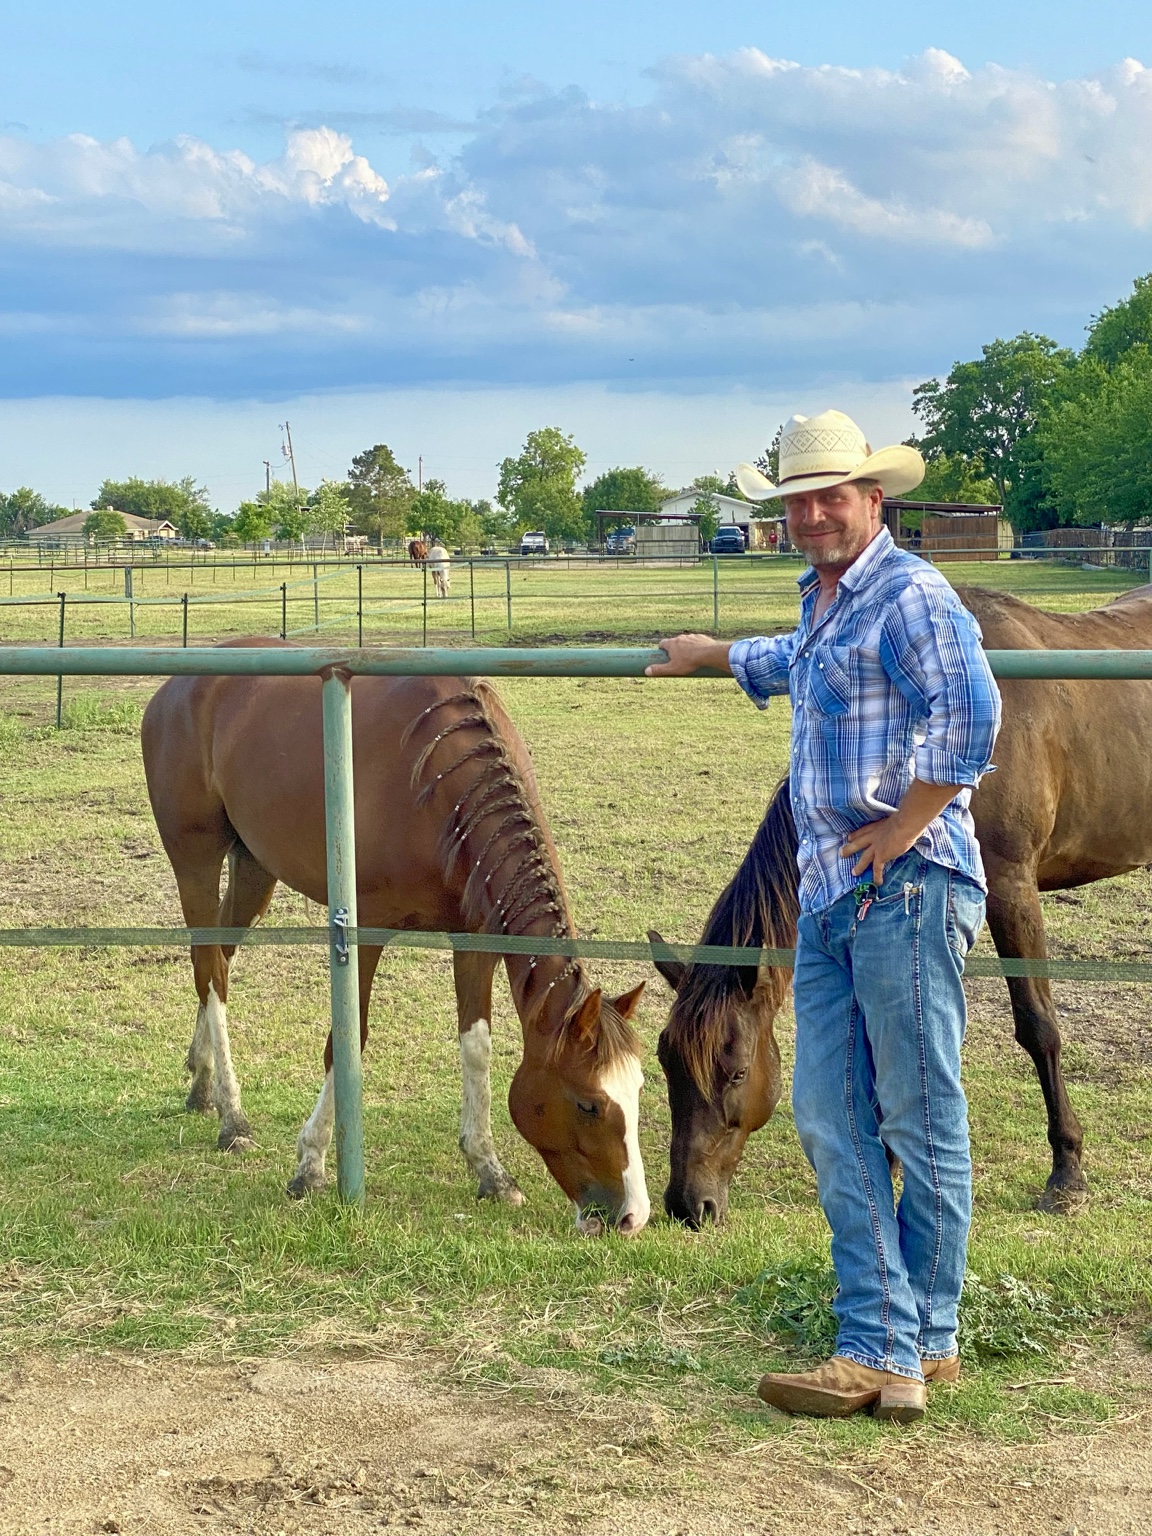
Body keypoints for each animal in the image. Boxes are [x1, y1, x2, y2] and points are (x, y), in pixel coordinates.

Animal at [141, 640, 650, 1235]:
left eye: (639, 1090)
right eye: (589, 1103)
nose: (631, 1216)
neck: (441, 784)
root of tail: (174, 687)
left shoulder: (474, 937)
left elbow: (476, 1046)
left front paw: (490, 1170)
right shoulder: (364, 931)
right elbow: (349, 1039)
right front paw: (311, 1164)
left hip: (253, 867)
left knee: (218, 957)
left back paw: (202, 1084)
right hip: (195, 858)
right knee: (210, 971)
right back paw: (232, 1117)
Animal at [651, 585, 1152, 1227]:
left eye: (735, 1070)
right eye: (666, 1062)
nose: (688, 1203)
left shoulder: (1012, 888)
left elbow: (1038, 1025)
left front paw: (1067, 1170)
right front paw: (889, 1163)